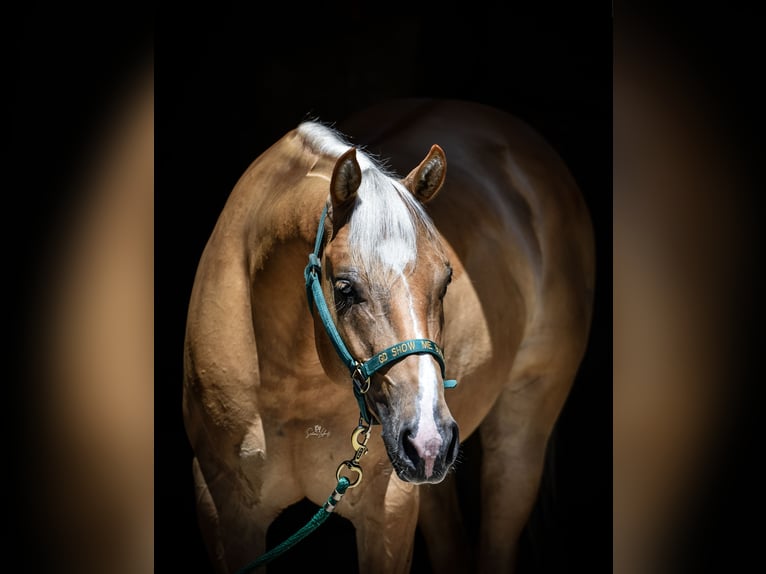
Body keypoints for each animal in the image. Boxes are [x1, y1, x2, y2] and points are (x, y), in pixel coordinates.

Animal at [182, 98, 595, 574]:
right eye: (345, 288)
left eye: (446, 280)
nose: (428, 439)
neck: (289, 382)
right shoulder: (221, 506)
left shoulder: (388, 509)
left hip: (518, 437)